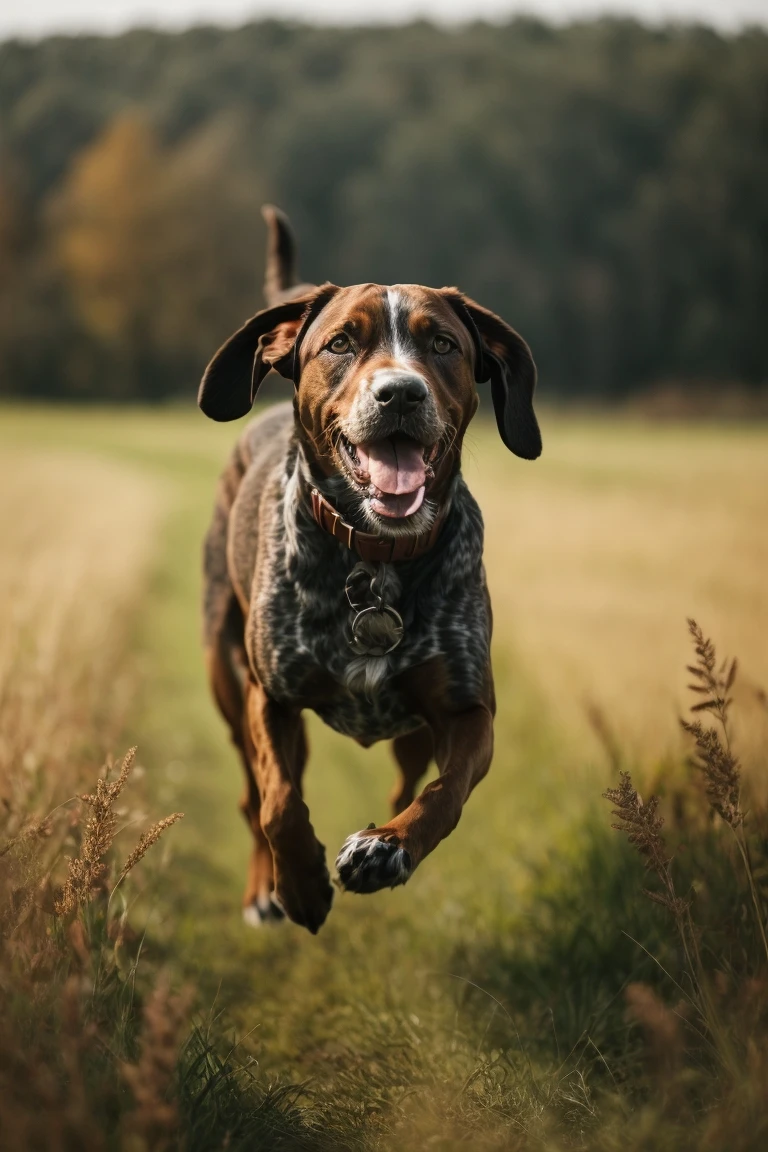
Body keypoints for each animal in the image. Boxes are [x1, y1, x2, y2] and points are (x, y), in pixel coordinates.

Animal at [201, 202, 543, 930]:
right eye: (340, 344)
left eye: (441, 344)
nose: (400, 394)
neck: (377, 553)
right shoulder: (270, 697)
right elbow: (279, 804)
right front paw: (300, 883)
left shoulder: (468, 710)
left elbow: (445, 792)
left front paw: (386, 847)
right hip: (227, 676)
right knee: (254, 793)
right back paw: (265, 889)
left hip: (408, 730)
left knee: (403, 777)